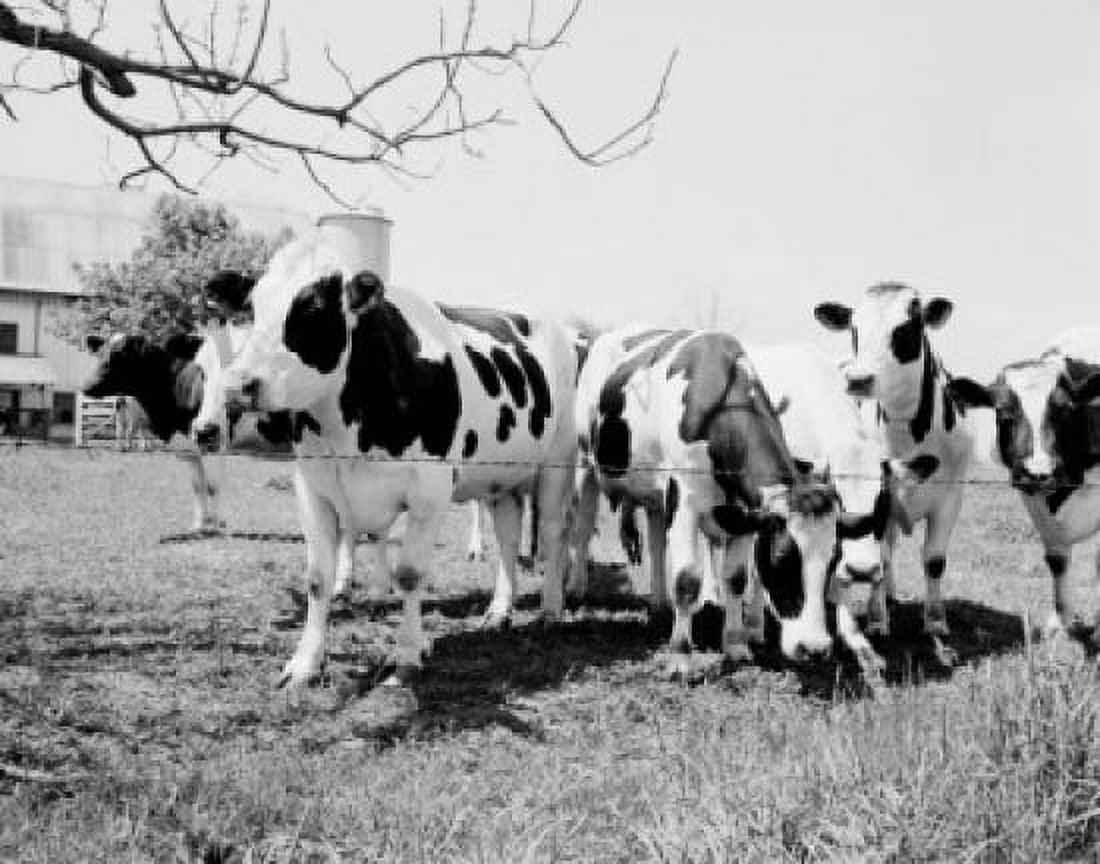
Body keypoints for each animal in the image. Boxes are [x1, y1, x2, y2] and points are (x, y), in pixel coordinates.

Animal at [192, 237, 581, 688]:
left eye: (313, 308)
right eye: (253, 309)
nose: (239, 385)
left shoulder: (430, 490)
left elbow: (409, 573)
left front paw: (408, 655)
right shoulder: (313, 488)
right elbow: (318, 578)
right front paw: (305, 663)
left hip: (557, 463)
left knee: (553, 530)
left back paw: (550, 610)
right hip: (500, 477)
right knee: (507, 532)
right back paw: (499, 611)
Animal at [570, 324, 841, 676]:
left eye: (833, 561)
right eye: (783, 560)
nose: (816, 649)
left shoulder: (744, 515)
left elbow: (736, 579)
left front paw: (736, 645)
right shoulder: (685, 499)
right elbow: (687, 579)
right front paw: (680, 658)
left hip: (656, 493)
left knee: (656, 542)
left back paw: (659, 603)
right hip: (584, 463)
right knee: (581, 529)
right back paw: (575, 589)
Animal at [814, 282, 974, 651]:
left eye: (905, 329)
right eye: (854, 329)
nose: (858, 379)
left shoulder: (950, 498)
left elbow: (934, 561)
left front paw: (935, 621)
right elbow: (882, 556)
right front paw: (876, 621)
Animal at [948, 327, 1100, 640]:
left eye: (1064, 411)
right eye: (1004, 414)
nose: (1039, 472)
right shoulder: (1034, 501)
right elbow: (1057, 561)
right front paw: (1060, 623)